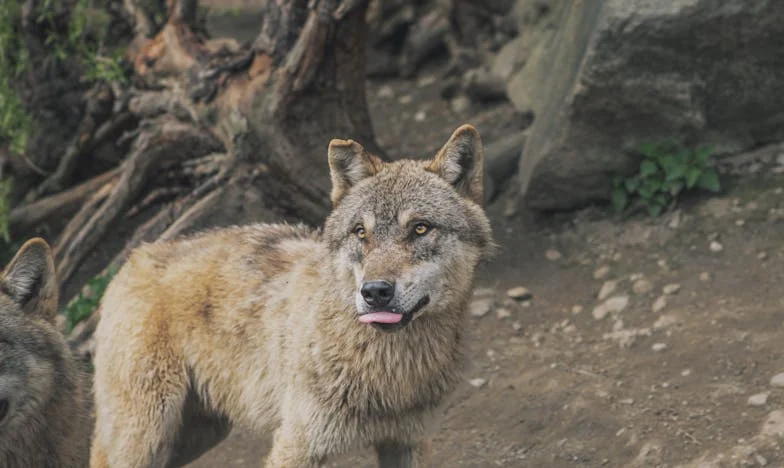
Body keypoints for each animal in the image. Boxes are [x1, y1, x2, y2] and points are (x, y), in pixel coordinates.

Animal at [89, 125, 494, 468]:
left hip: (197, 433)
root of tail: (133, 258)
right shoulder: (298, 444)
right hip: (145, 434)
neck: (391, 371)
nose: (375, 292)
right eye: (361, 232)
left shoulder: (408, 442)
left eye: (420, 229)